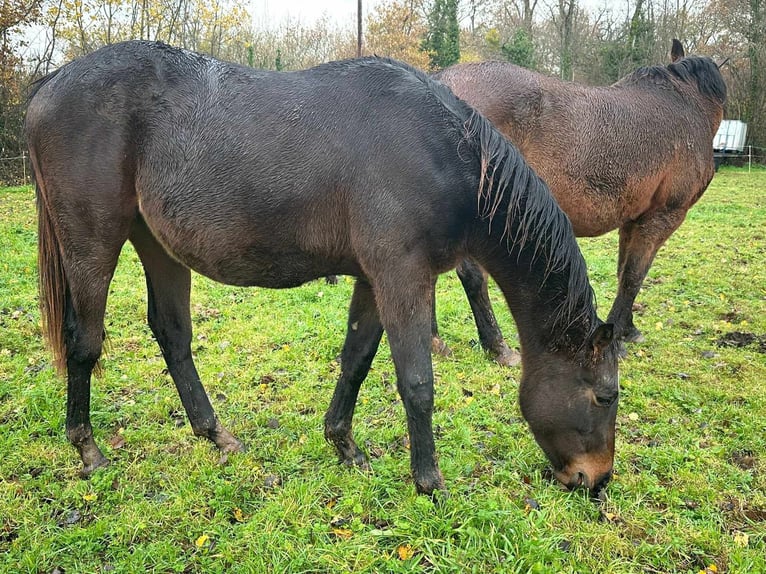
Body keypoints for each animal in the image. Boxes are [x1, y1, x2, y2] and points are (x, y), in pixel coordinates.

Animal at [27, 42, 620, 498]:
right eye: (604, 396)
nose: (595, 481)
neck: (439, 149)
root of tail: (50, 84)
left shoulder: (374, 279)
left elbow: (356, 360)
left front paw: (345, 445)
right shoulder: (403, 276)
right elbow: (417, 381)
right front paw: (429, 482)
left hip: (157, 246)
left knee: (172, 335)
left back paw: (215, 434)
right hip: (93, 244)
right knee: (85, 341)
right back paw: (88, 449)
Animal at [436, 39, 728, 364]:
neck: (689, 107)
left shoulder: (632, 219)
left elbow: (624, 272)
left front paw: (629, 329)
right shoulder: (662, 216)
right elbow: (634, 277)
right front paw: (618, 340)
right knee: (473, 276)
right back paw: (498, 346)